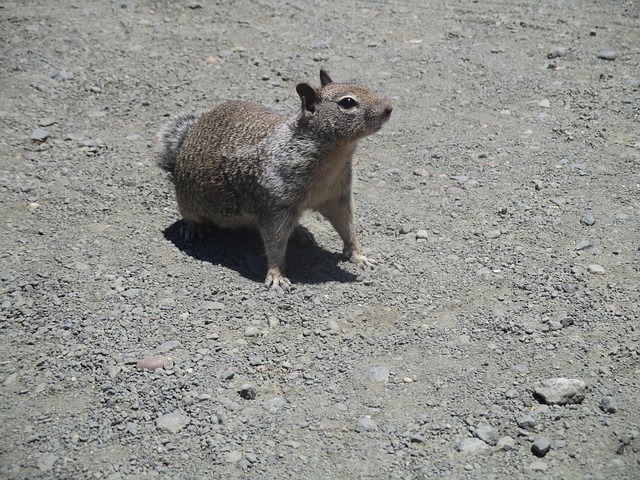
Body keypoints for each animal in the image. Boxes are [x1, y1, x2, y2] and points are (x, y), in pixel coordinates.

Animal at [158, 69, 392, 293]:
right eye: (348, 102)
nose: (389, 108)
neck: (335, 156)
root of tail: (185, 142)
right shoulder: (277, 206)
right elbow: (275, 244)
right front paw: (277, 277)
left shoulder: (337, 197)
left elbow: (347, 228)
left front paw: (359, 256)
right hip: (188, 203)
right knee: (192, 216)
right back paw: (194, 228)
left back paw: (300, 232)